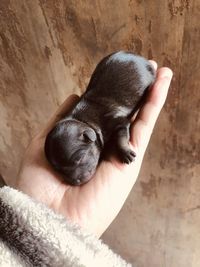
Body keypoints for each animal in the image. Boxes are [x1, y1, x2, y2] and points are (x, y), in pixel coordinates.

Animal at [44, 51, 155, 186]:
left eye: (79, 158)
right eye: (58, 170)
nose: (75, 182)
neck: (84, 121)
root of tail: (140, 57)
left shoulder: (119, 121)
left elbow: (121, 136)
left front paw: (125, 153)